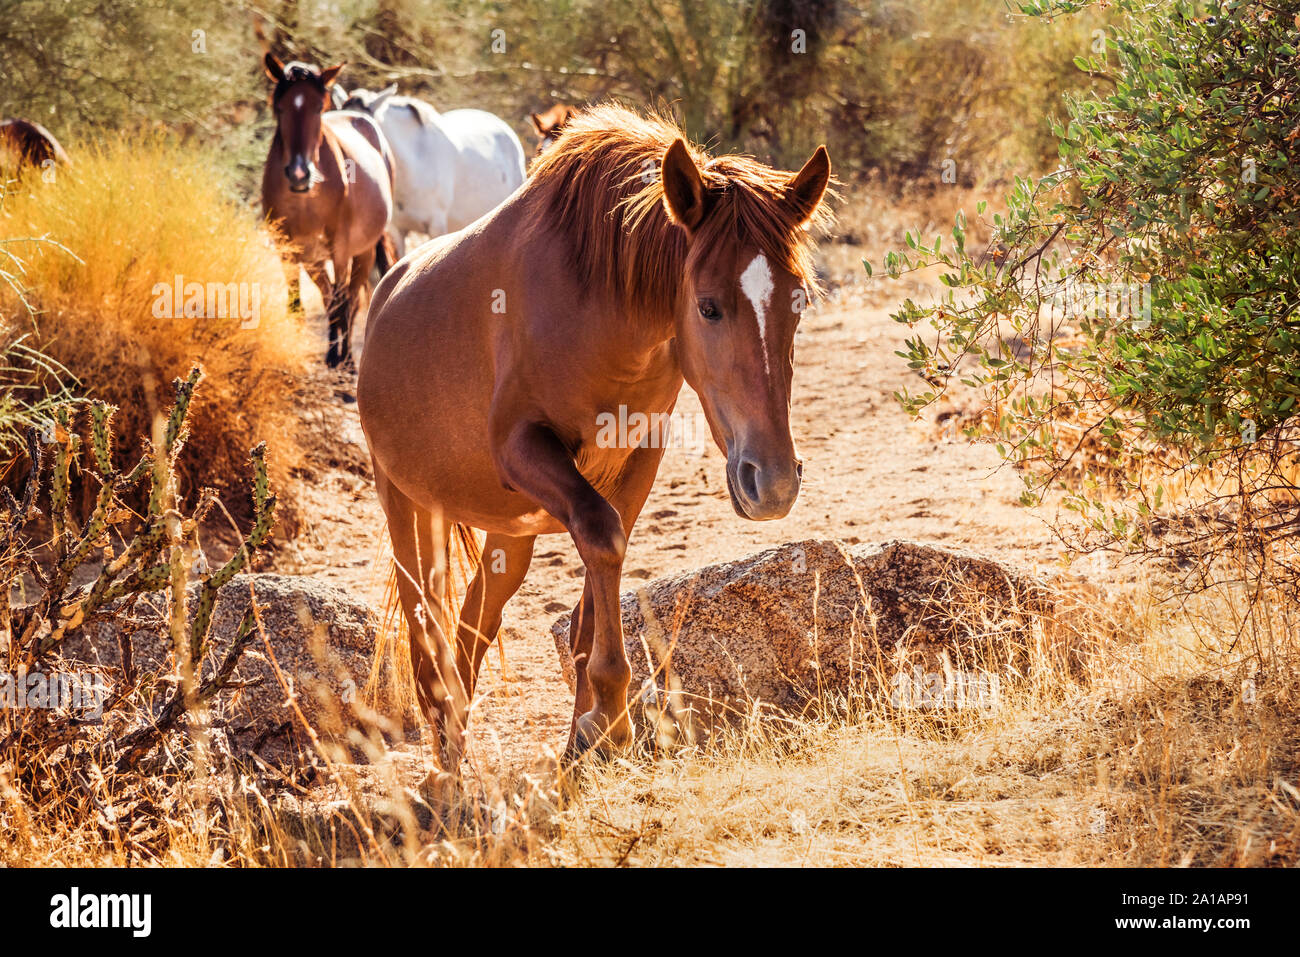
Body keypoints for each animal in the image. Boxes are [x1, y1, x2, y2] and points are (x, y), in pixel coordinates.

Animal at [257, 55, 390, 369]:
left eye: (319, 107)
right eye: (279, 107)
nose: (298, 174)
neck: (306, 198)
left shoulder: (340, 247)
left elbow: (343, 302)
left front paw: (339, 357)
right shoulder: (287, 248)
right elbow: (299, 305)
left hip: (362, 252)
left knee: (350, 299)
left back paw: (347, 357)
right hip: (313, 258)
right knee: (330, 296)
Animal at [364, 104, 832, 774]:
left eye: (800, 302)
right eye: (708, 306)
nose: (772, 484)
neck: (599, 307)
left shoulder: (635, 457)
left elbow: (599, 572)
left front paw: (586, 735)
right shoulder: (525, 450)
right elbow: (602, 540)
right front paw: (609, 712)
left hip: (511, 533)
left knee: (473, 622)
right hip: (409, 510)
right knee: (428, 632)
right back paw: (449, 760)